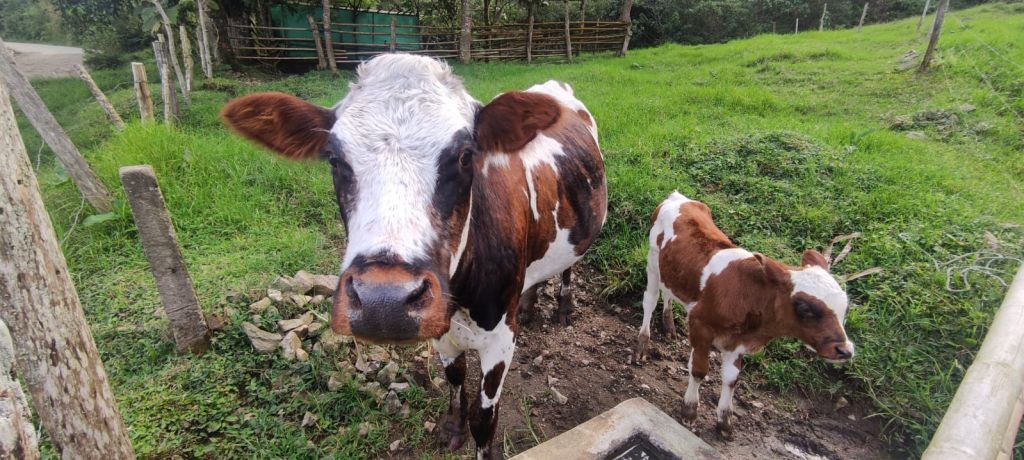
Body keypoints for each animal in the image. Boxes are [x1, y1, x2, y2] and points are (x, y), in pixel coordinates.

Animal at [222, 55, 606, 456]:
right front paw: (452, 425)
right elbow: (455, 377)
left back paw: (563, 307)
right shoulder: (441, 330)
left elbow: (485, 422)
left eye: (466, 156)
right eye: (333, 159)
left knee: (568, 267)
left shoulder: (501, 338)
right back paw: (531, 303)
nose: (384, 302)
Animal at [634, 191, 851, 436]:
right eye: (805, 308)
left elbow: (731, 379)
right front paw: (689, 411)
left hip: (671, 269)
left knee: (668, 292)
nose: (845, 350)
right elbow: (699, 370)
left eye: (845, 308)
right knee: (650, 300)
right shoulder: (700, 325)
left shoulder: (739, 342)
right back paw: (642, 344)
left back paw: (669, 324)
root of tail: (678, 197)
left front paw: (724, 421)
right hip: (653, 261)